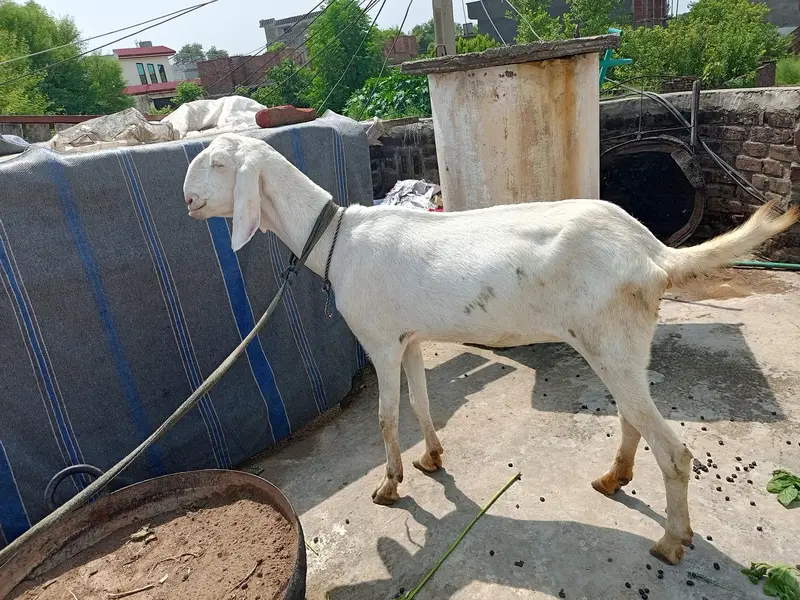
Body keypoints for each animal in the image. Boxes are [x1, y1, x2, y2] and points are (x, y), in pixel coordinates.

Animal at [183, 133, 798, 565]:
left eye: (219, 164)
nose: (186, 199)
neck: (337, 237)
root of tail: (653, 252)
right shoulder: (409, 338)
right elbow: (420, 402)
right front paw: (431, 459)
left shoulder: (379, 341)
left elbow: (385, 417)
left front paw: (389, 485)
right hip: (618, 342)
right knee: (632, 414)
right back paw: (613, 479)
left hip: (610, 337)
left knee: (673, 450)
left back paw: (672, 541)